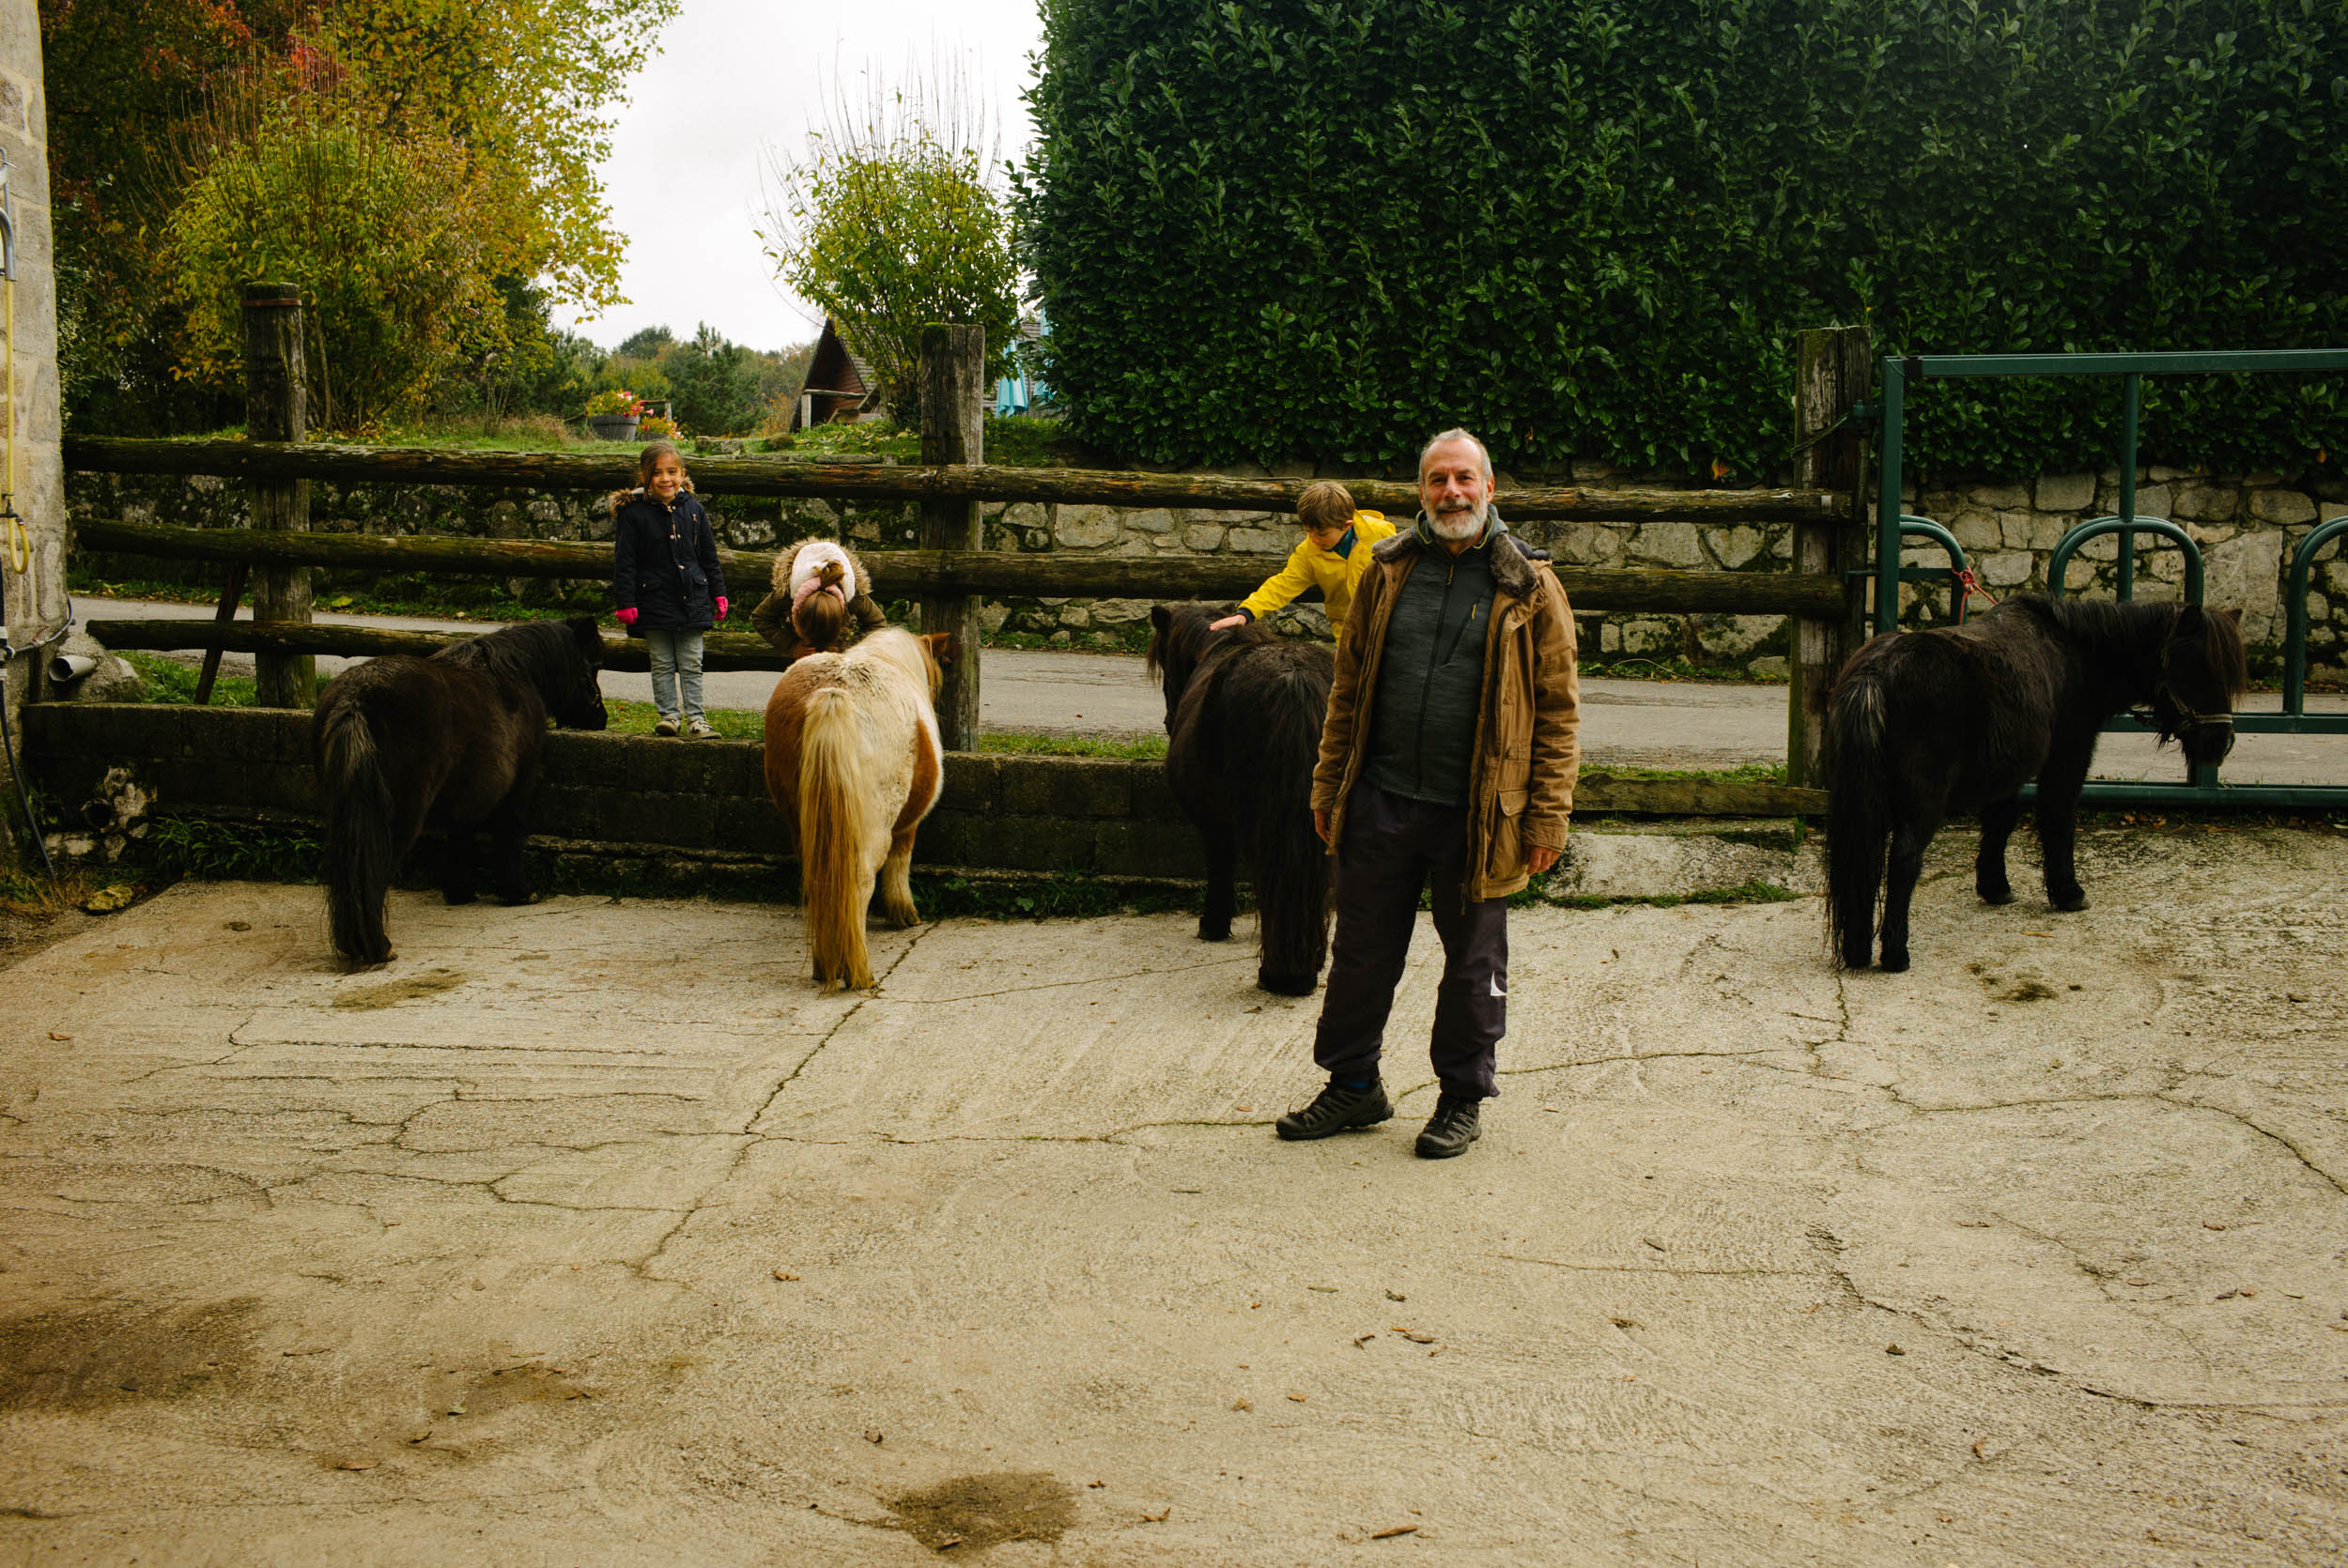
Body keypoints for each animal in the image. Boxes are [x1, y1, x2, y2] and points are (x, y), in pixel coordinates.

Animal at [313, 616, 609, 965]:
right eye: (592, 666)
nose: (601, 716)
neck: (516, 673)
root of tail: (355, 698)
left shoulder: (466, 795)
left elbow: (460, 838)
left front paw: (460, 891)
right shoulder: (518, 788)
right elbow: (509, 836)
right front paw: (519, 892)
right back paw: (377, 946)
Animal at [762, 627, 951, 990]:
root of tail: (835, 692)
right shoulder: (907, 827)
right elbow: (900, 863)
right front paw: (904, 912)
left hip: (805, 826)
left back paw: (826, 965)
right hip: (871, 830)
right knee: (859, 881)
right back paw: (858, 971)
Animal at [1825, 594, 2245, 972]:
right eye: (2195, 667)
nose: (2220, 744)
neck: (2075, 651)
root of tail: (1877, 673)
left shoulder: (2006, 773)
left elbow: (2001, 821)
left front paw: (1995, 886)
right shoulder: (2068, 756)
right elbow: (2058, 818)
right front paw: (2068, 893)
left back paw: (1858, 950)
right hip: (1922, 800)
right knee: (1904, 858)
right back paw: (1896, 954)